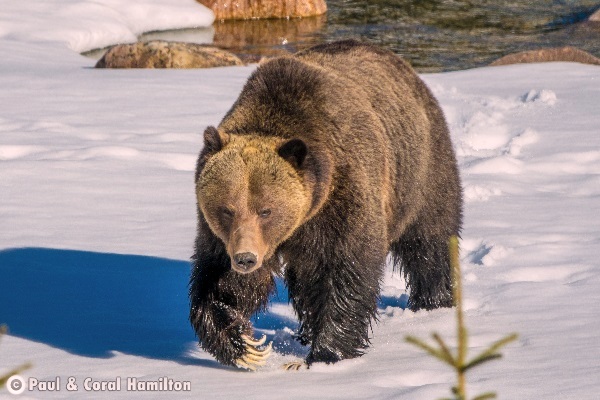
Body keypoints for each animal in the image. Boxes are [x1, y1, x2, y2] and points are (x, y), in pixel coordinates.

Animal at [190, 39, 462, 370]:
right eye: (227, 209)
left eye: (266, 210)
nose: (245, 259)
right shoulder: (223, 235)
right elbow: (221, 281)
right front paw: (246, 346)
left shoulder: (342, 196)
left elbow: (344, 271)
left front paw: (326, 354)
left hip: (419, 169)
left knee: (428, 240)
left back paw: (432, 302)